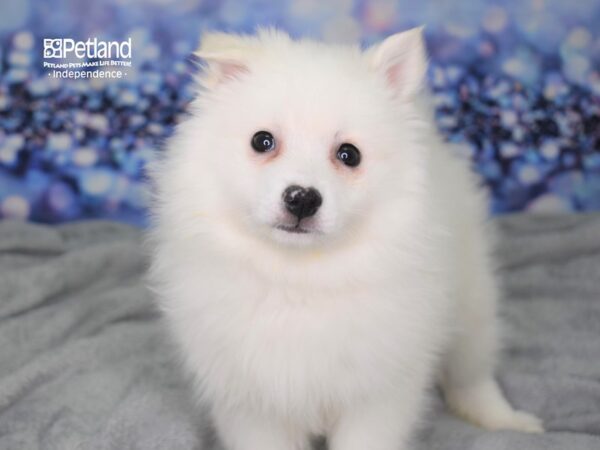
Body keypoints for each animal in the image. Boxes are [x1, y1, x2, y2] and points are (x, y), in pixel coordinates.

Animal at [146, 28, 544, 450]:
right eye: (262, 141)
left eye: (349, 154)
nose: (302, 198)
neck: (299, 276)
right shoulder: (248, 394)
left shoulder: (379, 389)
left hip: (472, 299)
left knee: (473, 370)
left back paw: (503, 419)